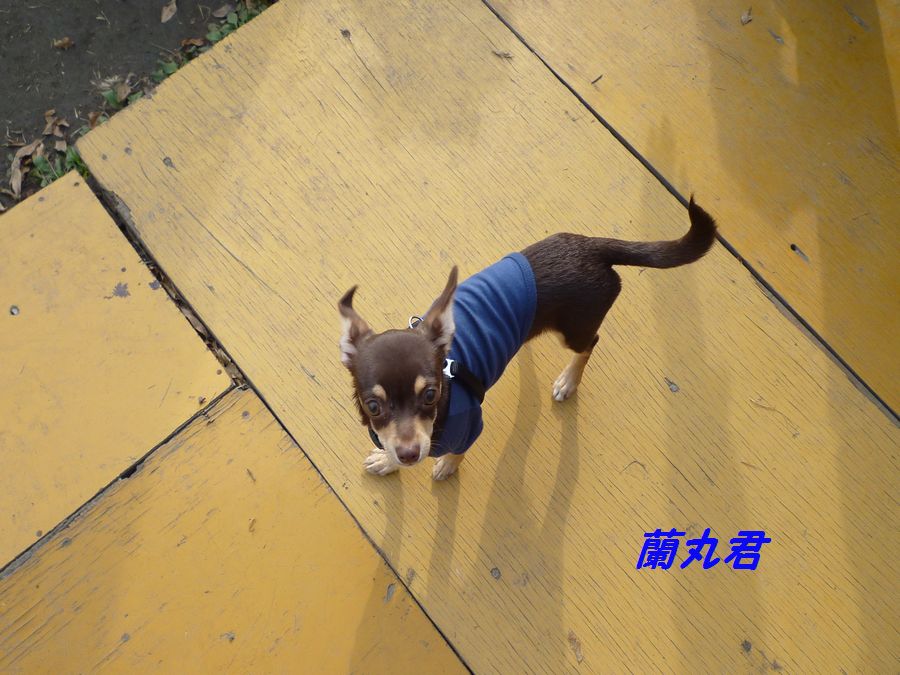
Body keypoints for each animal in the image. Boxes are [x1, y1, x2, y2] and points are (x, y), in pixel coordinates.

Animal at [338, 197, 716, 480]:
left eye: (431, 394)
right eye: (373, 406)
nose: (409, 454)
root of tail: (593, 246)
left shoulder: (471, 426)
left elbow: (459, 451)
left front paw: (446, 464)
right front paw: (387, 461)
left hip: (574, 330)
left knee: (590, 344)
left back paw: (568, 381)